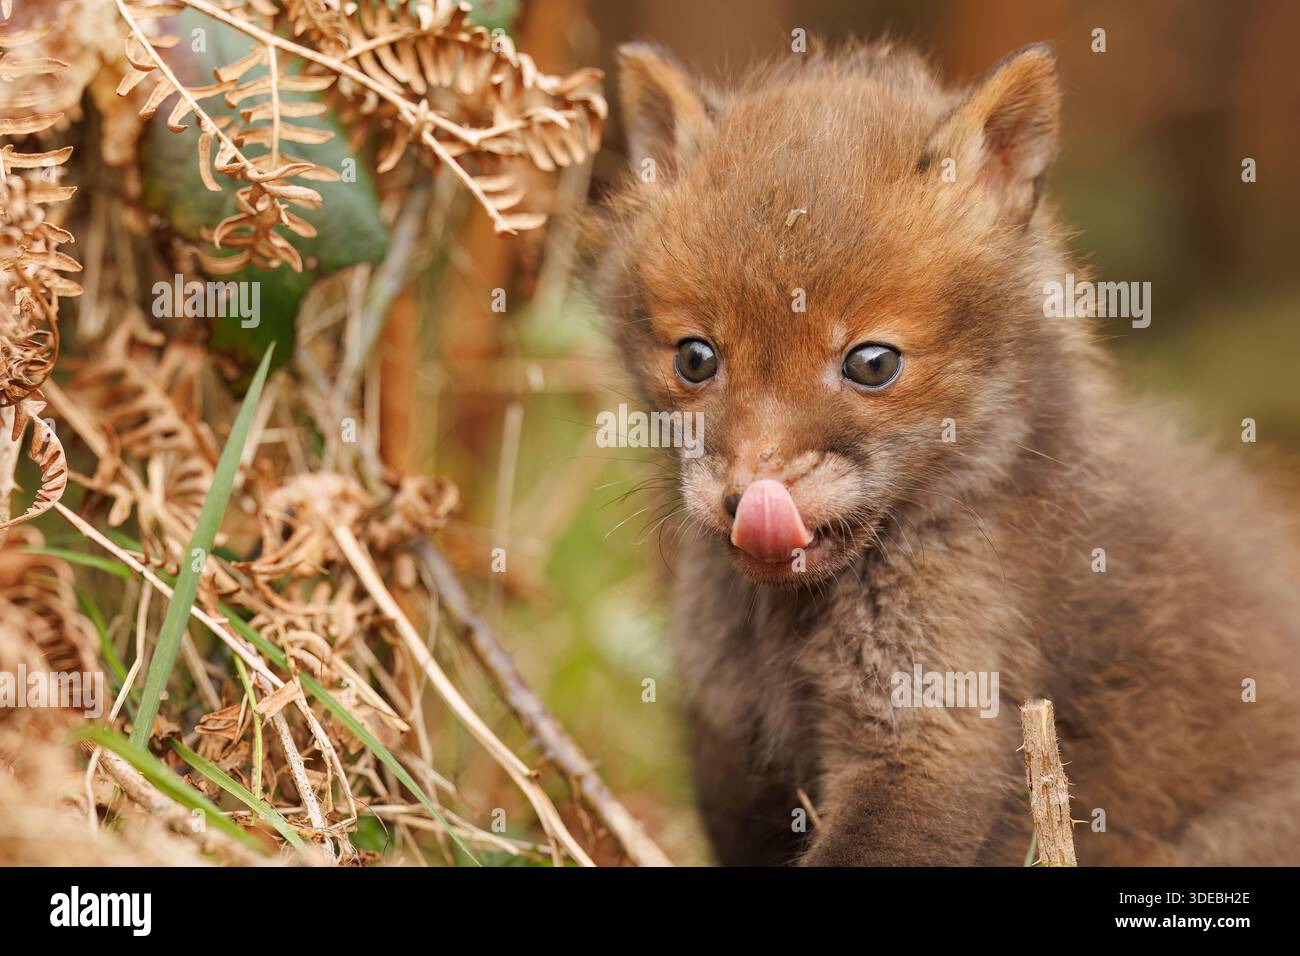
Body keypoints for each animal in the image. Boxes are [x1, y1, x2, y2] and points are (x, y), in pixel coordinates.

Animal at [591, 39, 1300, 865]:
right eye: (696, 358)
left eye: (872, 364)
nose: (749, 498)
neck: (778, 632)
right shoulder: (734, 750)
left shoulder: (933, 731)